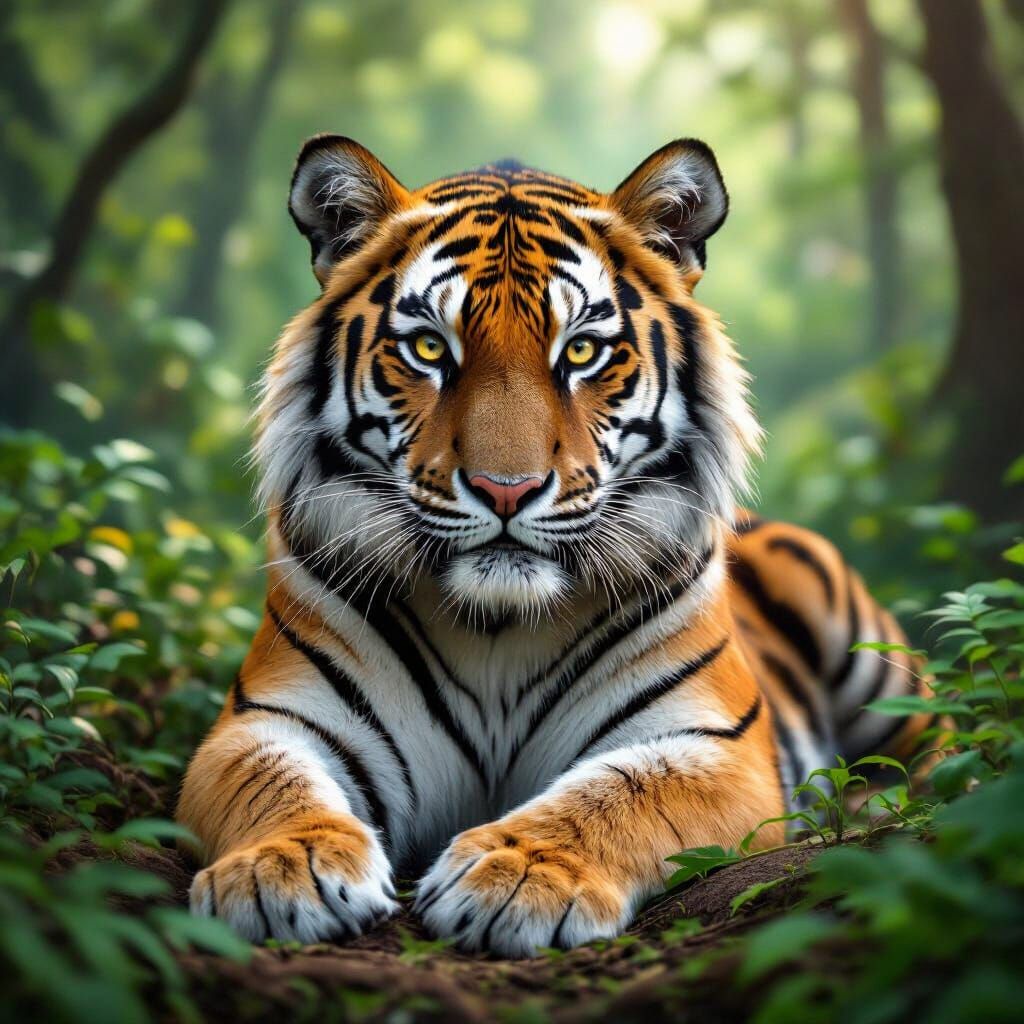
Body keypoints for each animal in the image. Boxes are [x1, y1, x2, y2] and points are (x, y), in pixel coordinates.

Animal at [177, 135, 930, 957]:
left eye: (584, 352)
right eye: (428, 347)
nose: (506, 490)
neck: (497, 627)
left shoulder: (712, 744)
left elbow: (623, 793)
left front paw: (523, 874)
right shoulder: (265, 719)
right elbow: (269, 782)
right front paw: (281, 868)